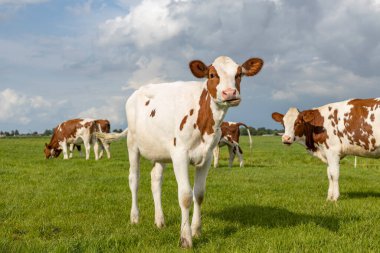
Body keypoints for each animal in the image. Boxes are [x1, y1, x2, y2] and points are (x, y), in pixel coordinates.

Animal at [98, 55, 264, 247]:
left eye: (239, 74)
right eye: (212, 74)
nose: (230, 93)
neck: (205, 123)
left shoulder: (207, 157)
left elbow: (199, 194)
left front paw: (196, 231)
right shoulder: (180, 156)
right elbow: (185, 196)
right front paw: (186, 238)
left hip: (159, 152)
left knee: (156, 180)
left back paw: (159, 221)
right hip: (132, 145)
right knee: (134, 179)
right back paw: (135, 217)